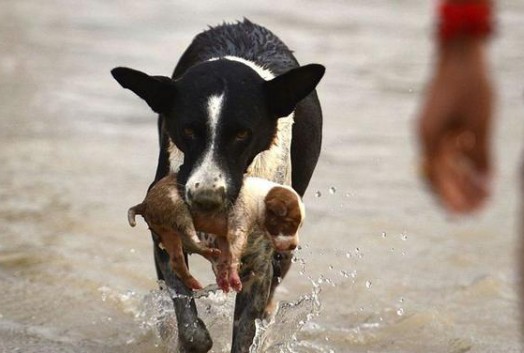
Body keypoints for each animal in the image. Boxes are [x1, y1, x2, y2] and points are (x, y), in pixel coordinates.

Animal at [111, 19, 324, 352]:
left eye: (242, 134)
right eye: (187, 130)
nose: (205, 199)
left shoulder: (259, 265)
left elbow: (246, 329)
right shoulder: (165, 241)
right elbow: (188, 322)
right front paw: (189, 336)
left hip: (285, 247)